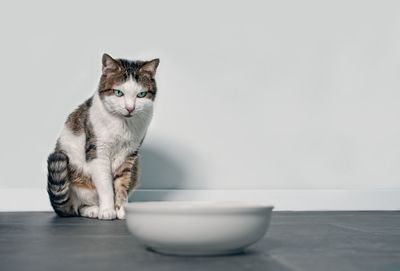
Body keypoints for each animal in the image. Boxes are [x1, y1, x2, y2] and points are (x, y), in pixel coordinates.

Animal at [47, 53, 159, 221]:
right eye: (118, 92)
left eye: (141, 95)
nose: (130, 108)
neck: (123, 125)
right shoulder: (98, 151)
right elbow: (106, 186)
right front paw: (107, 210)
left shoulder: (129, 155)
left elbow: (121, 185)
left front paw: (121, 209)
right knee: (77, 208)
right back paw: (94, 210)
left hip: (136, 170)